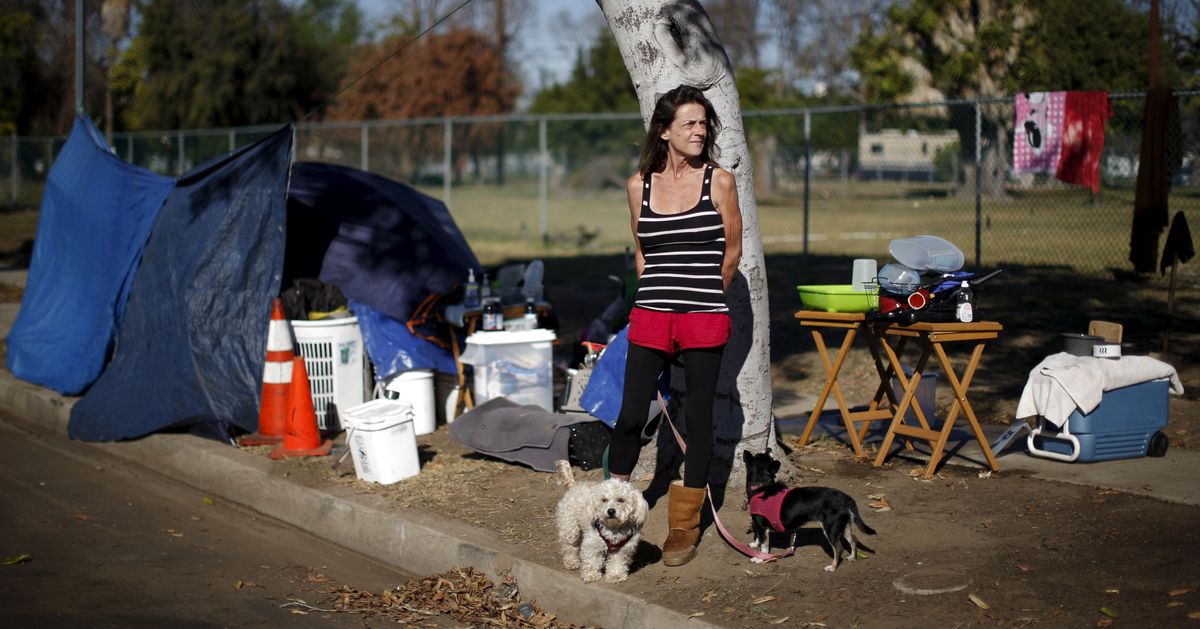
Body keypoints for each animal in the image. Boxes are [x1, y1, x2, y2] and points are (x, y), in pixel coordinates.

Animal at [744, 446, 878, 568]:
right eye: (763, 453)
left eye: (768, 455)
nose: (769, 448)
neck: (762, 487)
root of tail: (846, 498)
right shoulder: (758, 526)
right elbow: (758, 537)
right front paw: (755, 545)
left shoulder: (762, 527)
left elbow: (764, 546)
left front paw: (760, 558)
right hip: (843, 526)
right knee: (854, 540)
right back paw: (853, 557)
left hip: (831, 529)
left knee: (838, 549)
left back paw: (832, 567)